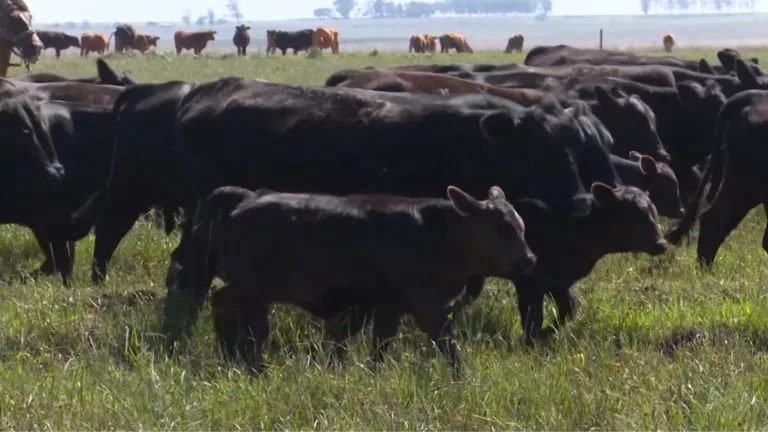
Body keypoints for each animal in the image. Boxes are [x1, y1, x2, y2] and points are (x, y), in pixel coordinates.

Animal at [182, 183, 536, 374]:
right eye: (502, 229)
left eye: (521, 227)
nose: (530, 260)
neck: (437, 232)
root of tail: (247, 197)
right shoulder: (427, 307)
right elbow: (449, 348)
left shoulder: (388, 307)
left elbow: (380, 346)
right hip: (252, 288)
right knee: (228, 309)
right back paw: (250, 364)